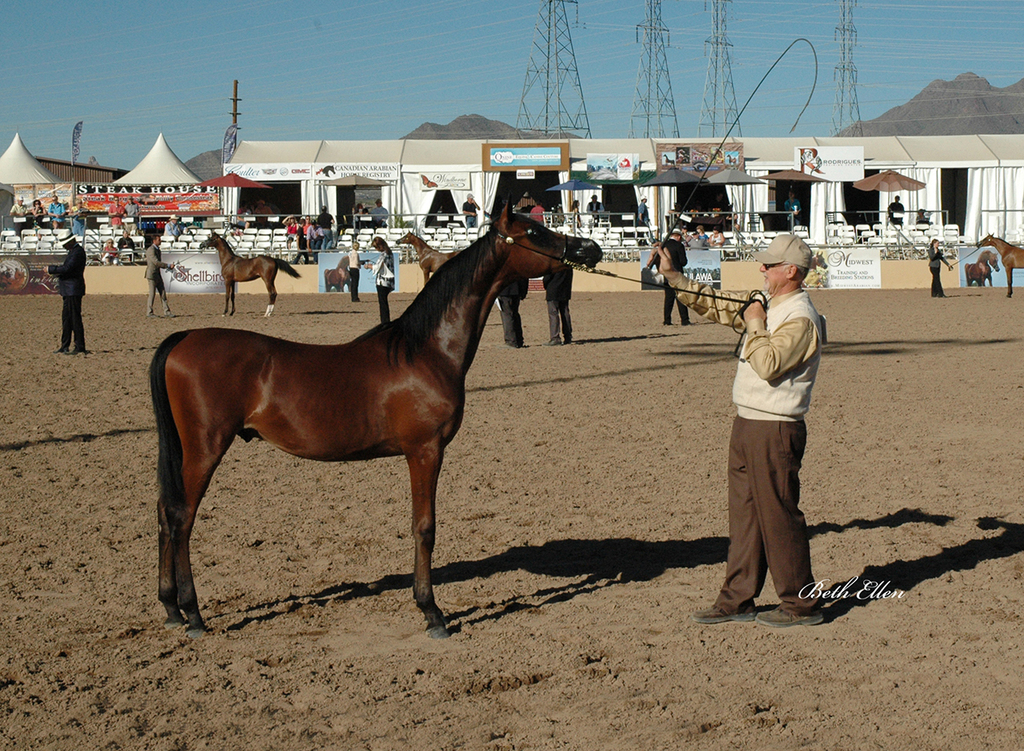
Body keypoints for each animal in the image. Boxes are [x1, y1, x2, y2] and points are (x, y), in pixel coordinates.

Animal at [150, 202, 602, 639]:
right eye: (535, 232)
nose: (590, 249)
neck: (426, 351)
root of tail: (183, 340)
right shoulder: (425, 452)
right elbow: (424, 527)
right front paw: (431, 612)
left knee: (164, 512)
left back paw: (171, 608)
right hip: (205, 449)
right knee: (181, 517)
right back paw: (193, 613)